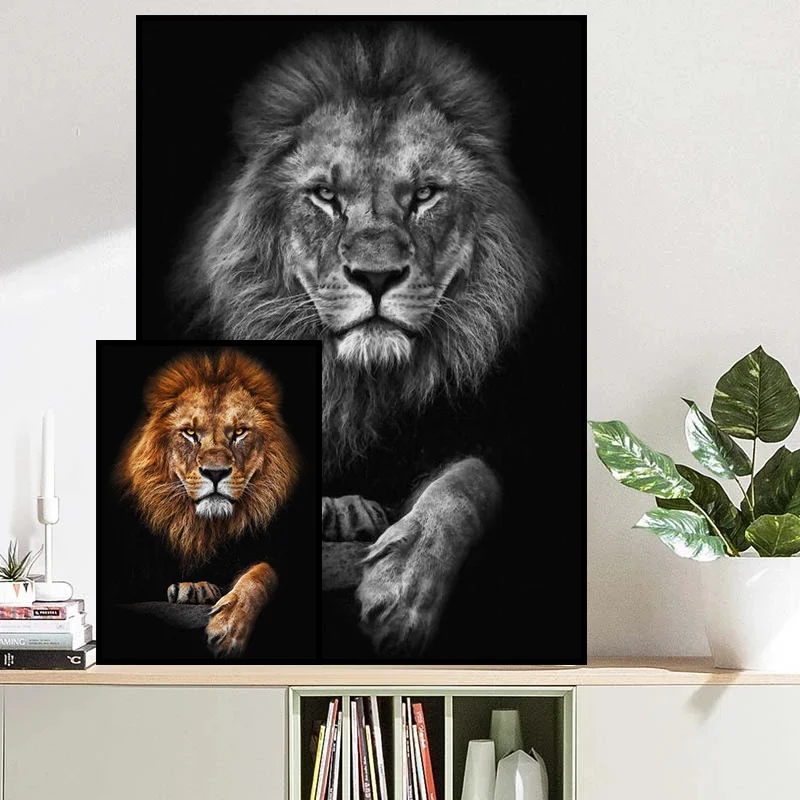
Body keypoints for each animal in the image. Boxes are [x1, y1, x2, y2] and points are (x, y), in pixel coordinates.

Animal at [115, 349, 298, 658]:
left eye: (239, 432)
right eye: (190, 433)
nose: (215, 473)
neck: (204, 529)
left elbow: (262, 573)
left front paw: (229, 628)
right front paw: (194, 588)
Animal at [172, 26, 543, 657]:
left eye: (425, 194)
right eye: (324, 195)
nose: (375, 275)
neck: (358, 387)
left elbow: (467, 480)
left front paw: (404, 588)